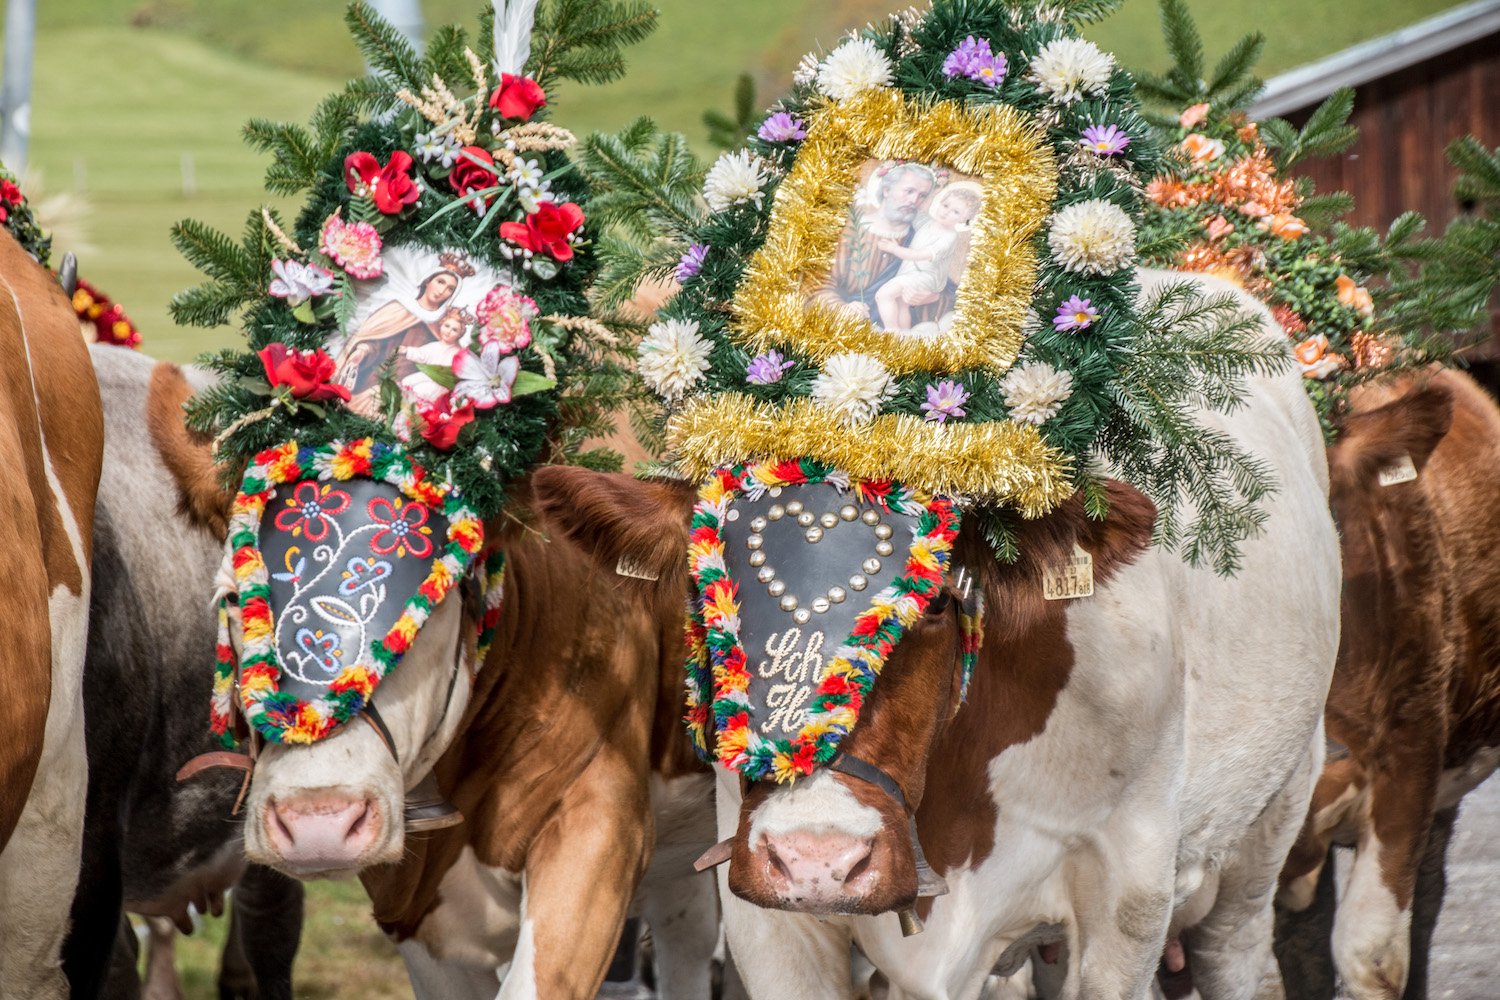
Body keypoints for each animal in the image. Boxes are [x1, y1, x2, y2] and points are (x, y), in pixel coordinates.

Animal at [546, 0, 1344, 995]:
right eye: (710, 608)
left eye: (929, 609)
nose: (819, 858)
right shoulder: (767, 915)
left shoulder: (1126, 897)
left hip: (1272, 814)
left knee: (1241, 949)